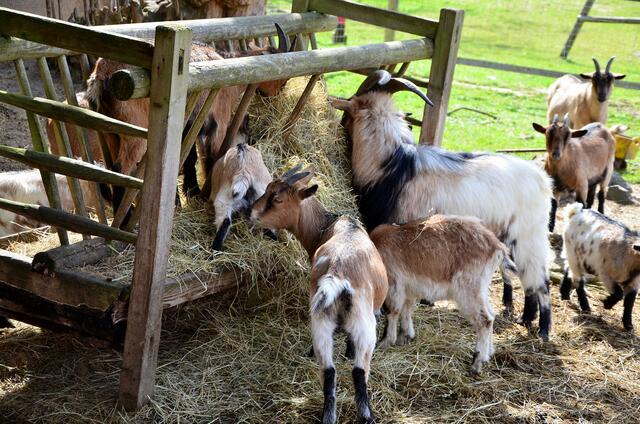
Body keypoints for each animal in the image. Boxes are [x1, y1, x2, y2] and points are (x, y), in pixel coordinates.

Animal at [250, 166, 388, 424]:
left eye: (277, 198)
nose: (249, 213)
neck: (331, 225)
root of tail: (337, 275)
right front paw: (348, 352)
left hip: (321, 322)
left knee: (329, 372)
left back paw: (328, 416)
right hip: (365, 325)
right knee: (359, 372)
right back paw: (367, 416)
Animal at [331, 70, 553, 339]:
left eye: (348, 112)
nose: (340, 125)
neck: (390, 165)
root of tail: (543, 180)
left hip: (528, 235)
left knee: (541, 279)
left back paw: (543, 329)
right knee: (528, 277)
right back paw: (526, 318)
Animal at [371, 215, 515, 373]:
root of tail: (497, 246)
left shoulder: (394, 285)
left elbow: (393, 311)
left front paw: (385, 342)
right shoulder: (408, 288)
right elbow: (406, 310)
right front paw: (405, 337)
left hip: (468, 289)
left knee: (485, 319)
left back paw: (476, 364)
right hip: (480, 289)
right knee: (491, 314)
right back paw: (488, 355)